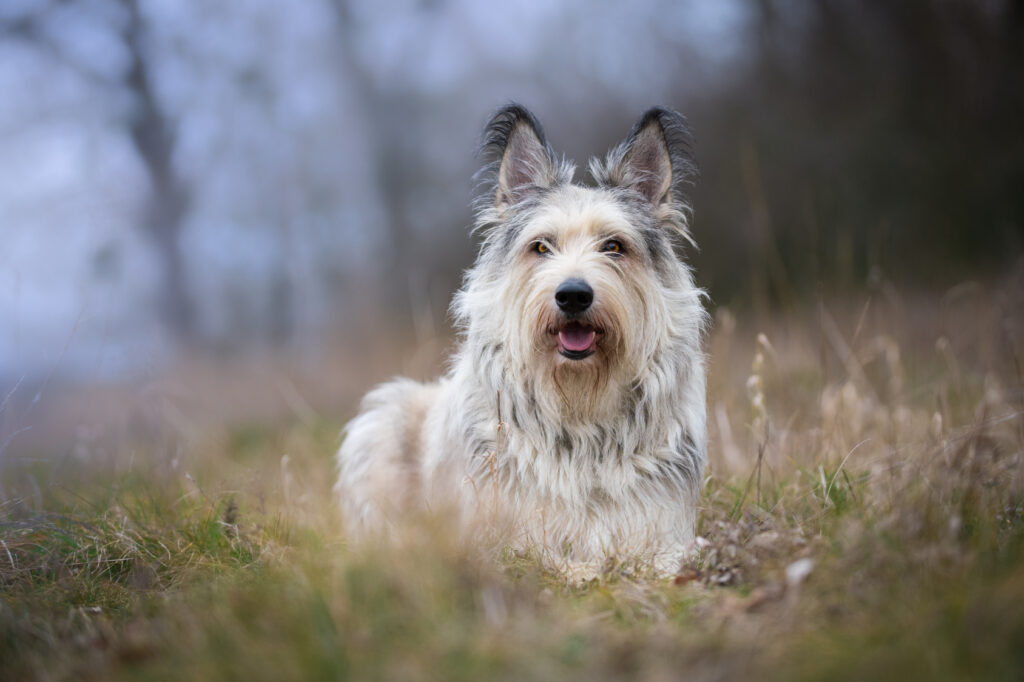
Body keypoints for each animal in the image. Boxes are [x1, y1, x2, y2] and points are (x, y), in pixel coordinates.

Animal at [333, 104, 704, 573]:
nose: (573, 295)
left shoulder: (661, 532)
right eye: (541, 247)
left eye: (614, 246)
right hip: (383, 418)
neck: (579, 406)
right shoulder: (507, 536)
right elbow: (557, 562)